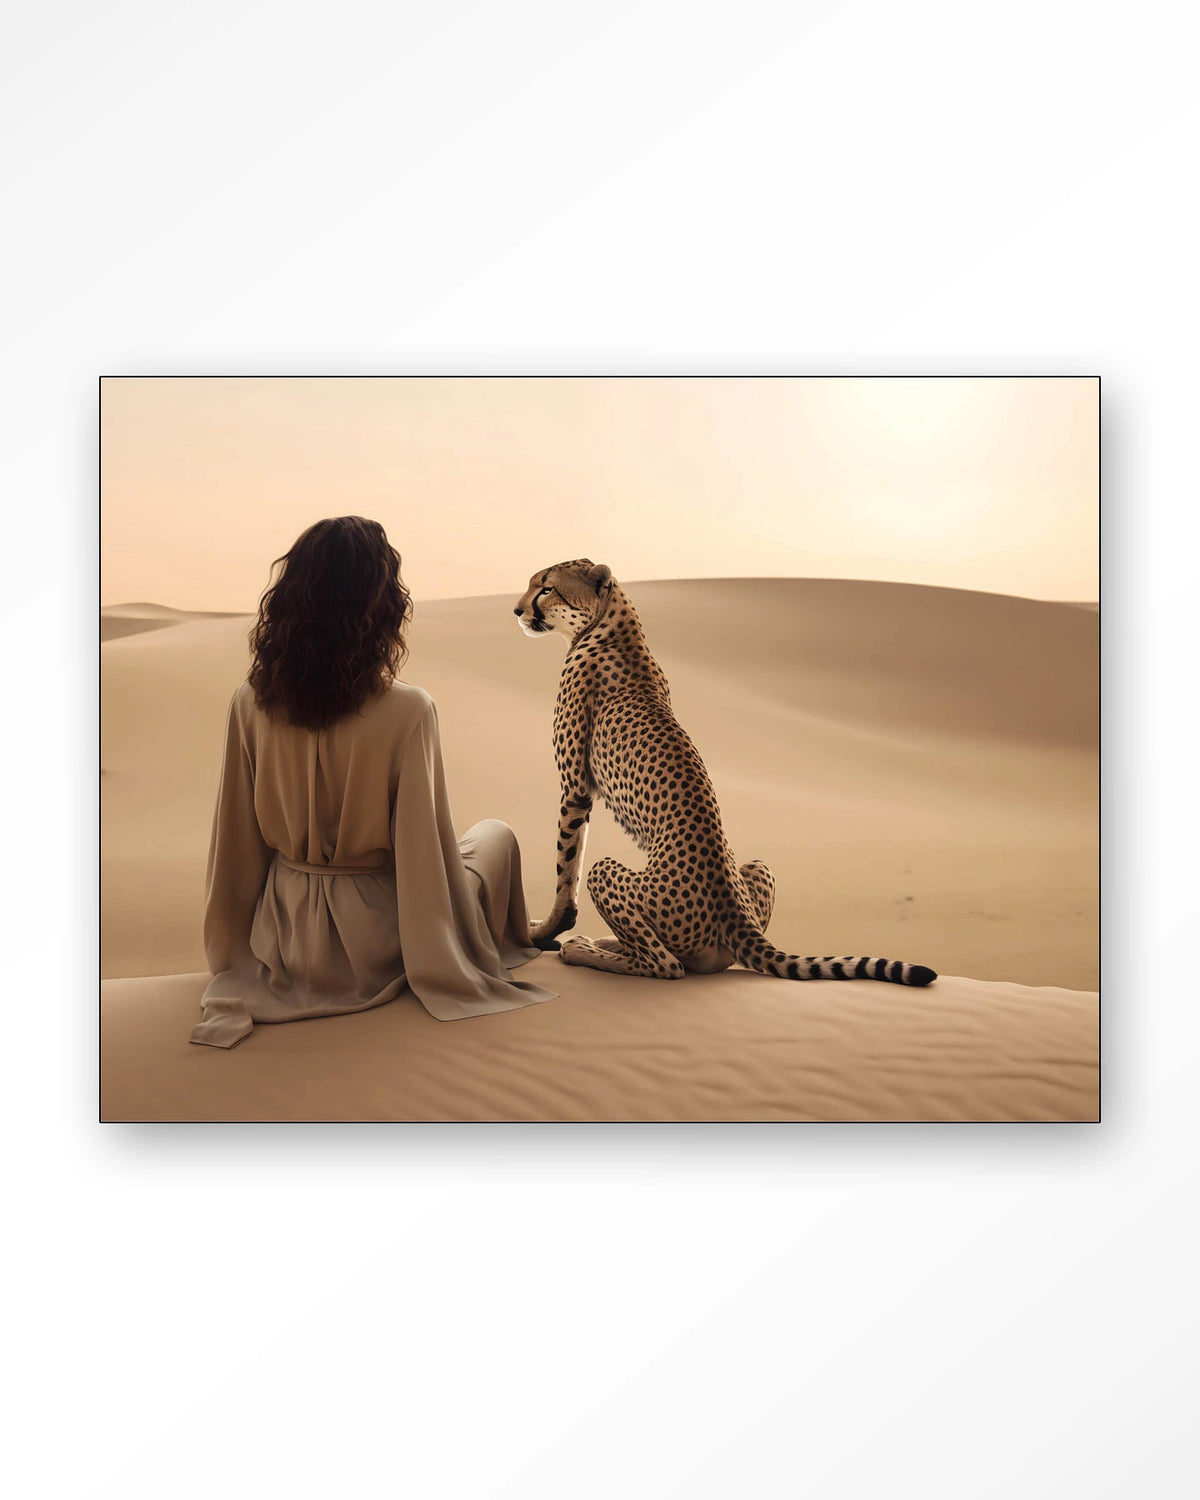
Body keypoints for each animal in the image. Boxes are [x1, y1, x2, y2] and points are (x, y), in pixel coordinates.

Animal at [513, 559, 937, 987]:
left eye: (546, 588)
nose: (517, 610)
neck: (612, 624)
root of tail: (735, 916)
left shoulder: (575, 787)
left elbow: (566, 868)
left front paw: (542, 931)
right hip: (758, 868)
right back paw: (611, 943)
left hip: (615, 879)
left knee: (667, 965)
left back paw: (585, 949)